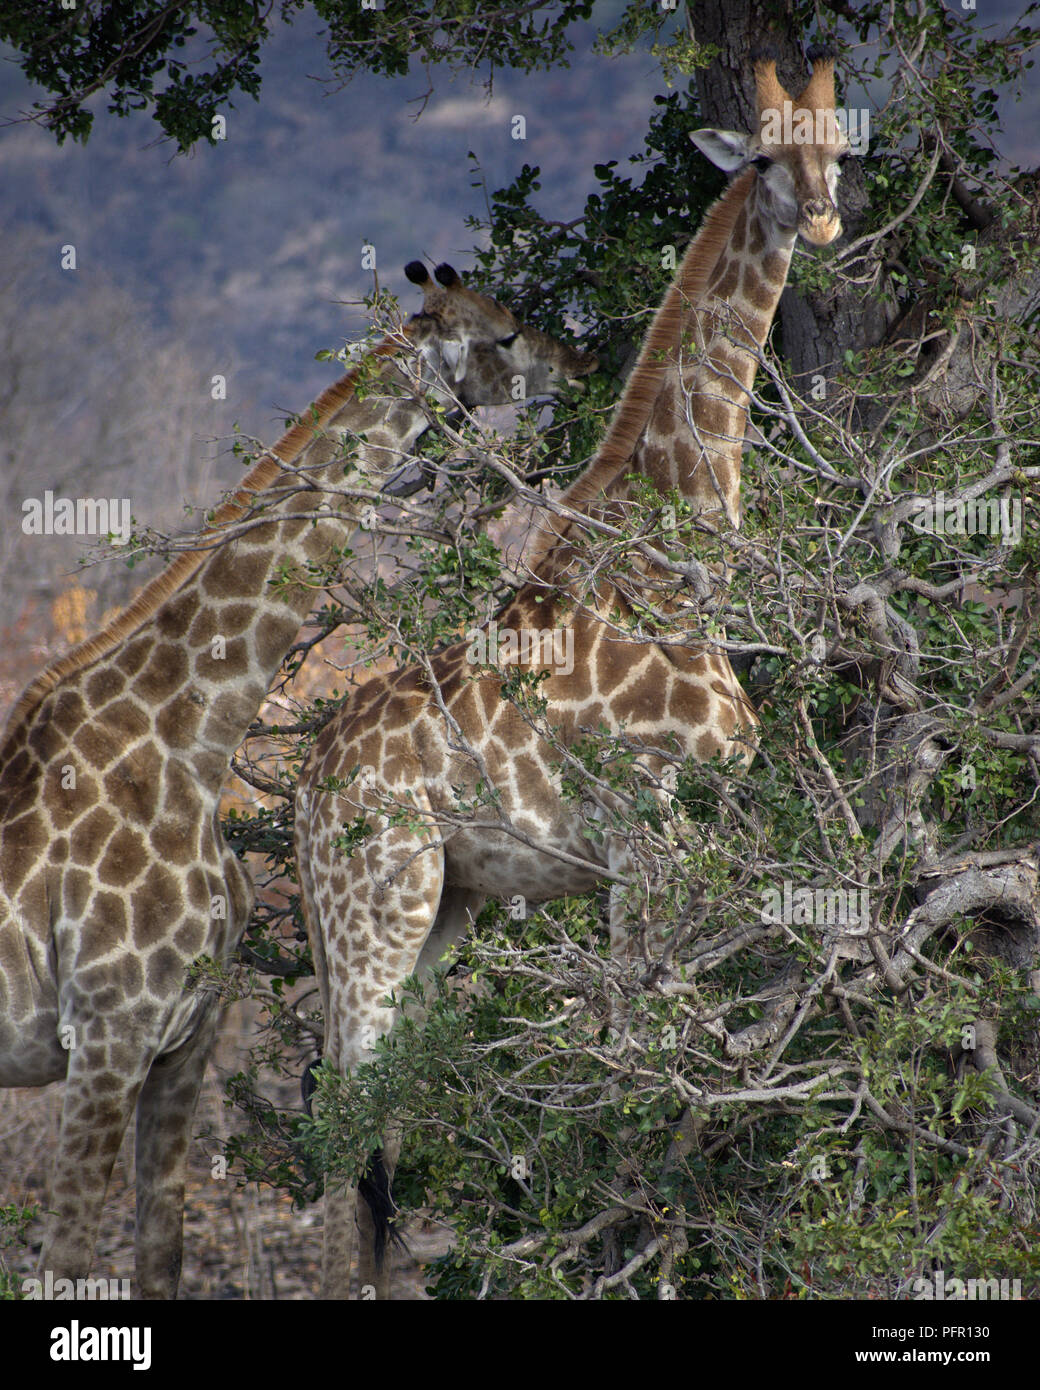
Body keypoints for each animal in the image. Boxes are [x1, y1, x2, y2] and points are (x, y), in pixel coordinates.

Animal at [0, 262, 592, 1301]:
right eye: (506, 334)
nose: (583, 363)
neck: (190, 745)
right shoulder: (106, 1036)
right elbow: (67, 1264)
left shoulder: (183, 1038)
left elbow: (161, 1255)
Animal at [294, 46, 850, 1301]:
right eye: (761, 155)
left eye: (841, 147)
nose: (822, 215)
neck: (669, 537)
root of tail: (298, 795)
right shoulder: (652, 829)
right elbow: (652, 1046)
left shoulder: (656, 844)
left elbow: (655, 1037)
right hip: (377, 907)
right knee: (341, 1118)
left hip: (440, 909)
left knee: (381, 1117)